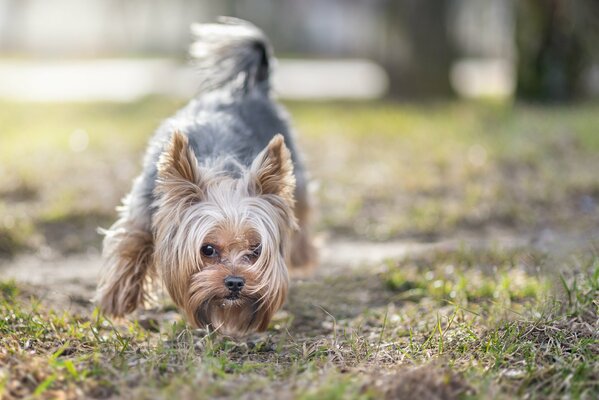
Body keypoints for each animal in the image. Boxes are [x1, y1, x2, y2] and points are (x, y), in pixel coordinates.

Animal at [96, 18, 316, 338]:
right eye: (207, 249)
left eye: (256, 250)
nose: (235, 282)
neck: (219, 169)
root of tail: (250, 90)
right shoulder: (145, 204)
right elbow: (132, 241)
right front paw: (117, 298)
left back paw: (303, 256)